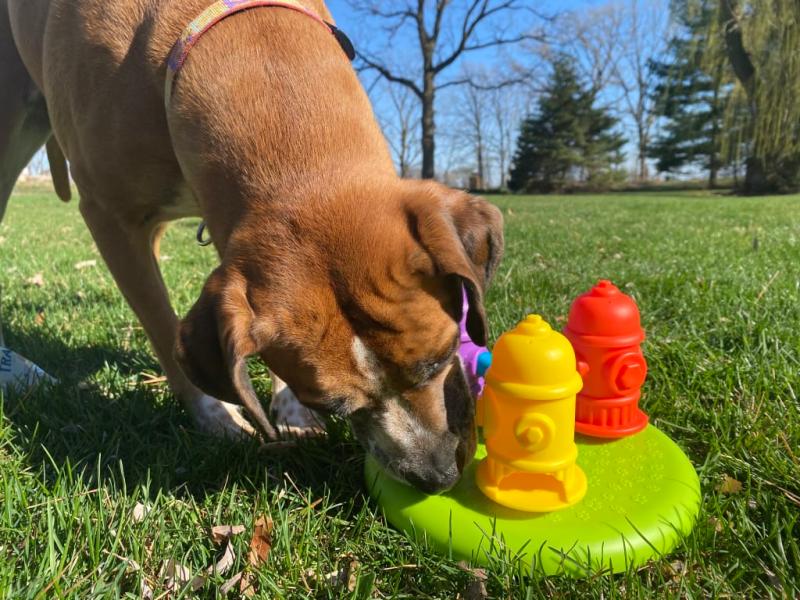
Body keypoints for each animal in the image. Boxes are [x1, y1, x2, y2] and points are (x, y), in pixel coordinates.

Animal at [1, 0, 500, 492]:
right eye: (334, 405)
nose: (436, 476)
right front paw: (217, 416)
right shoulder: (108, 215)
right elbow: (162, 326)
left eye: (440, 360)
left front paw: (289, 408)